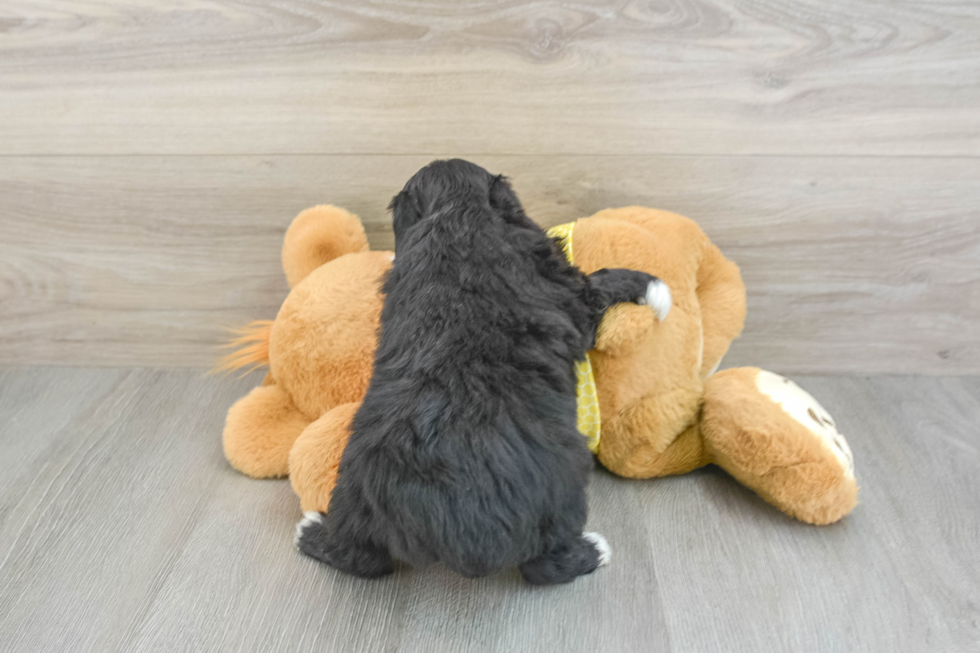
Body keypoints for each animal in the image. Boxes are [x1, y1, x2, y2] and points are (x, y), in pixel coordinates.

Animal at [294, 160, 668, 584]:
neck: (457, 211)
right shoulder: (570, 292)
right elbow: (601, 283)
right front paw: (656, 288)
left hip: (355, 489)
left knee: (361, 559)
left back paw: (312, 530)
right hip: (562, 483)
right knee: (544, 566)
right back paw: (594, 551)